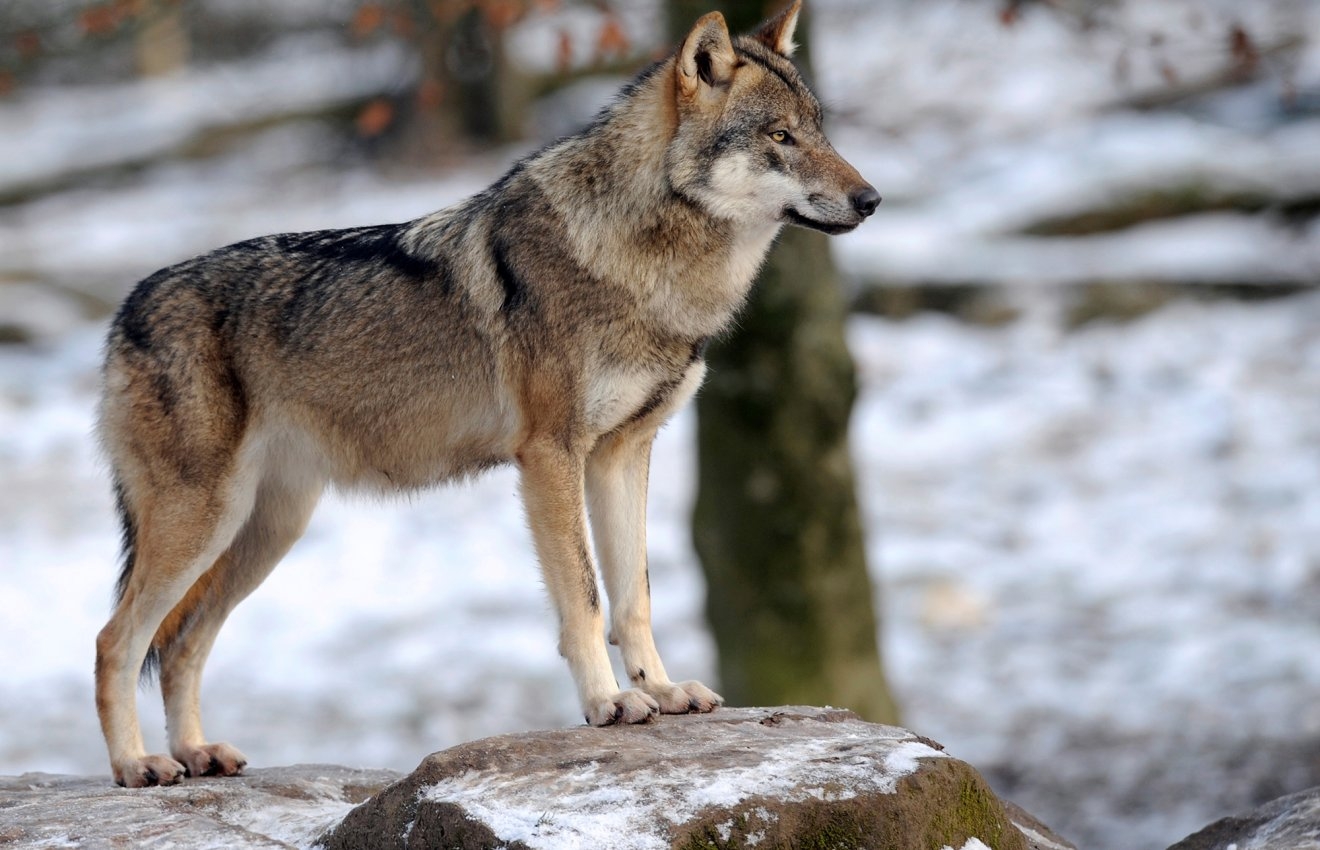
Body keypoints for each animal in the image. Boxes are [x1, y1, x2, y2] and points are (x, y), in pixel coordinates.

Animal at [94, 0, 879, 787]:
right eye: (779, 137)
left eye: (820, 128)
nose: (872, 200)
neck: (644, 264)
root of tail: (124, 310)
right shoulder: (551, 455)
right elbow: (585, 598)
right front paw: (609, 703)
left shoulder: (623, 454)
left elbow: (635, 597)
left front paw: (659, 690)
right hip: (205, 522)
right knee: (115, 641)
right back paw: (139, 765)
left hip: (265, 531)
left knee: (182, 645)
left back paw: (197, 753)